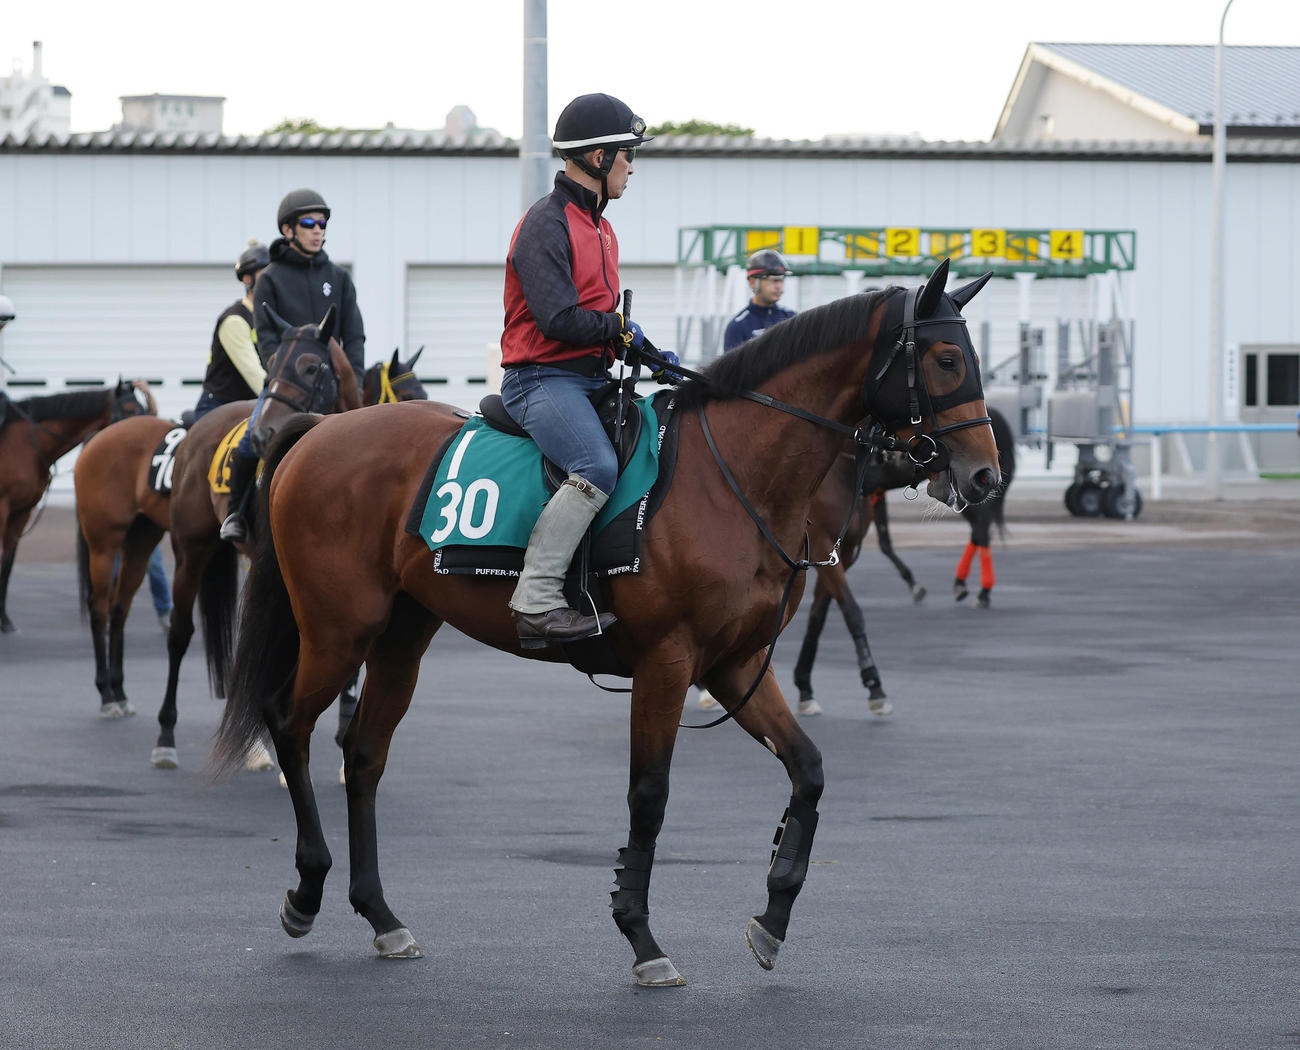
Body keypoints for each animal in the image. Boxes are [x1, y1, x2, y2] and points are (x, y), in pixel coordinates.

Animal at [0, 379, 155, 634]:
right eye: (130, 409)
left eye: (144, 408)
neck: (24, 444)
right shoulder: (3, 508)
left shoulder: (21, 511)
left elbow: (8, 562)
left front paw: (4, 619)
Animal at [73, 343, 425, 726]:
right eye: (409, 395)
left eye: (421, 394)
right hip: (115, 541)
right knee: (104, 610)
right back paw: (113, 696)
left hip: (142, 537)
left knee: (120, 607)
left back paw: (119, 691)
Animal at [792, 406, 1017, 715]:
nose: (985, 473)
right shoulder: (821, 545)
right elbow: (850, 609)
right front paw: (872, 680)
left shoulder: (839, 552)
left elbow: (820, 615)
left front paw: (805, 685)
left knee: (980, 526)